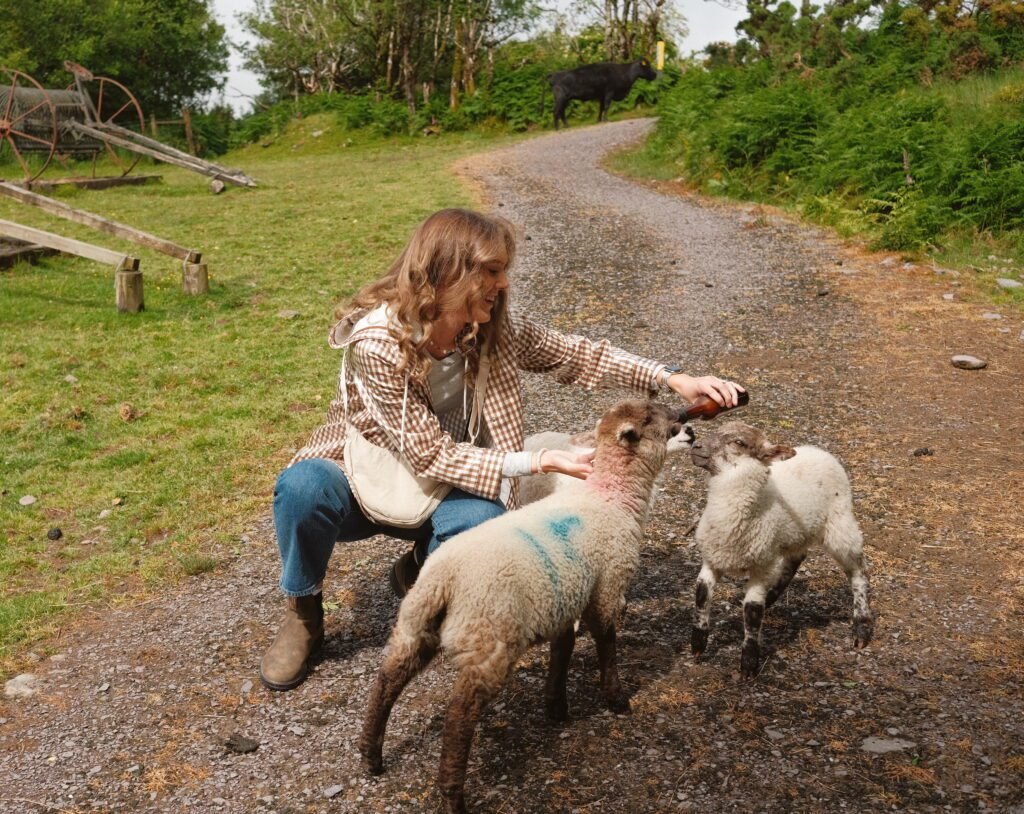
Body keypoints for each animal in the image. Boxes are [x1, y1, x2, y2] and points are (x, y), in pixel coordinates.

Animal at [360, 399, 688, 814]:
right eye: (650, 418)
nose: (683, 419)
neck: (610, 497)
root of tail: (443, 580)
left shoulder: (564, 598)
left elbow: (562, 651)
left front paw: (556, 707)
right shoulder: (607, 587)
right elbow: (607, 645)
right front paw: (616, 699)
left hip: (415, 625)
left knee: (387, 680)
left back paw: (370, 755)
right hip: (489, 641)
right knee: (459, 716)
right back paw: (452, 796)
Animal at [688, 423, 872, 679]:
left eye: (739, 443)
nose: (696, 446)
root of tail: (818, 450)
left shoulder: (761, 566)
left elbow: (752, 612)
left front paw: (749, 663)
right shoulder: (712, 558)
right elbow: (702, 597)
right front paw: (698, 643)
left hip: (840, 524)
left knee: (858, 573)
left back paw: (862, 627)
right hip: (795, 533)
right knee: (797, 557)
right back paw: (773, 595)